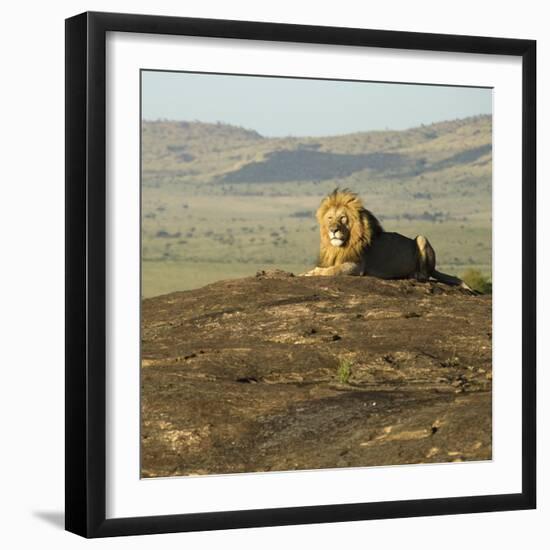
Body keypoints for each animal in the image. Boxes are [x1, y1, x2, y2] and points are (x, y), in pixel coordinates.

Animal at [302, 190, 474, 292]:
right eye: (330, 218)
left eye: (343, 218)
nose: (333, 230)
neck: (341, 246)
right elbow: (328, 268)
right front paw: (306, 272)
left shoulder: (357, 266)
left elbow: (333, 270)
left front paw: (313, 273)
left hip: (421, 238)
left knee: (425, 275)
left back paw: (414, 275)